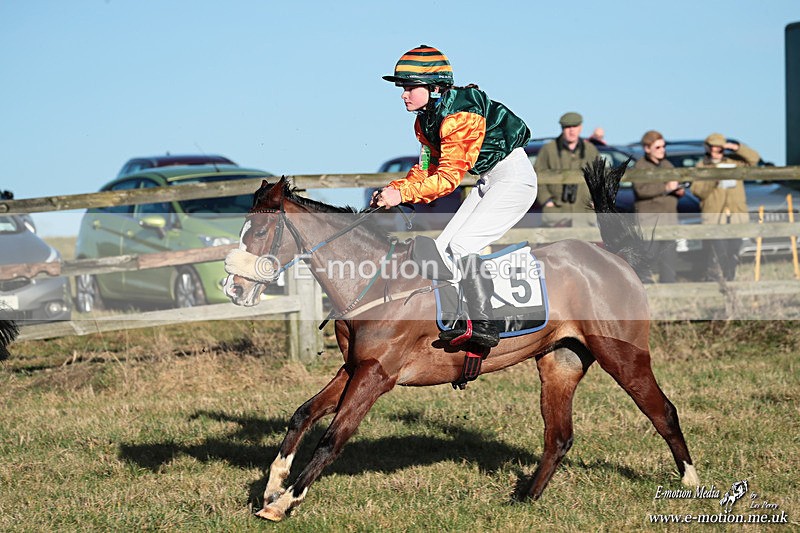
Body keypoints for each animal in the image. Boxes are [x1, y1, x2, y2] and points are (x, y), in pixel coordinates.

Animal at [222, 159, 699, 522]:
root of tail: (612, 257)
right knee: (559, 436)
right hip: (561, 359)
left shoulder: (377, 375)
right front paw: (272, 486)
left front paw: (283, 503)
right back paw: (524, 498)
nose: (234, 289)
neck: (375, 280)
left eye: (259, 232)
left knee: (663, 412)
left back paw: (692, 482)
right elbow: (302, 415)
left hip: (623, 354)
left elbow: (334, 436)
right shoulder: (354, 366)